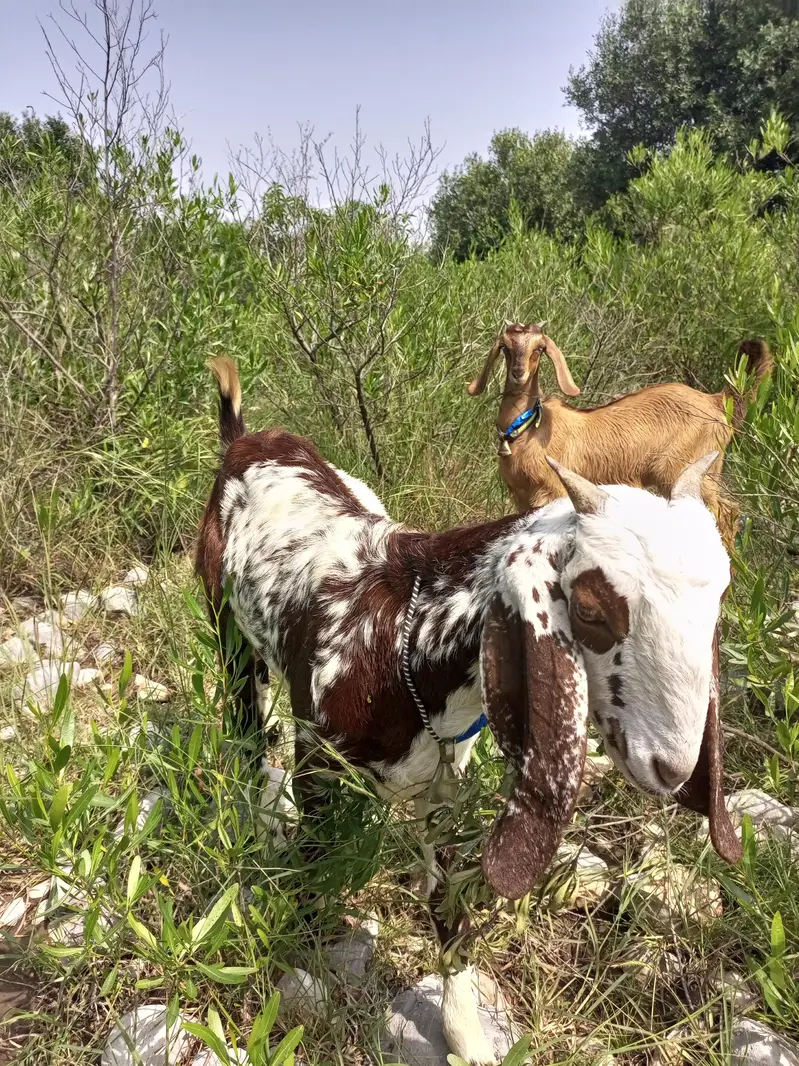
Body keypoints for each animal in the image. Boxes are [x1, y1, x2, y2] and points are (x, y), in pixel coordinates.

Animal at [196, 356, 741, 1066]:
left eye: (719, 598)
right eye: (591, 609)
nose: (674, 766)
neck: (405, 636)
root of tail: (245, 438)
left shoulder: (444, 790)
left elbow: (449, 908)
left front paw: (465, 1033)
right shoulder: (319, 757)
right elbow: (315, 862)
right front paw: (302, 956)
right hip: (231, 633)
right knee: (250, 731)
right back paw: (263, 814)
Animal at [468, 324, 773, 549]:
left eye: (540, 348)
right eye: (505, 347)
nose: (518, 373)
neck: (527, 429)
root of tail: (717, 401)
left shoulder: (552, 491)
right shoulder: (521, 497)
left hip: (687, 469)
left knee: (725, 513)